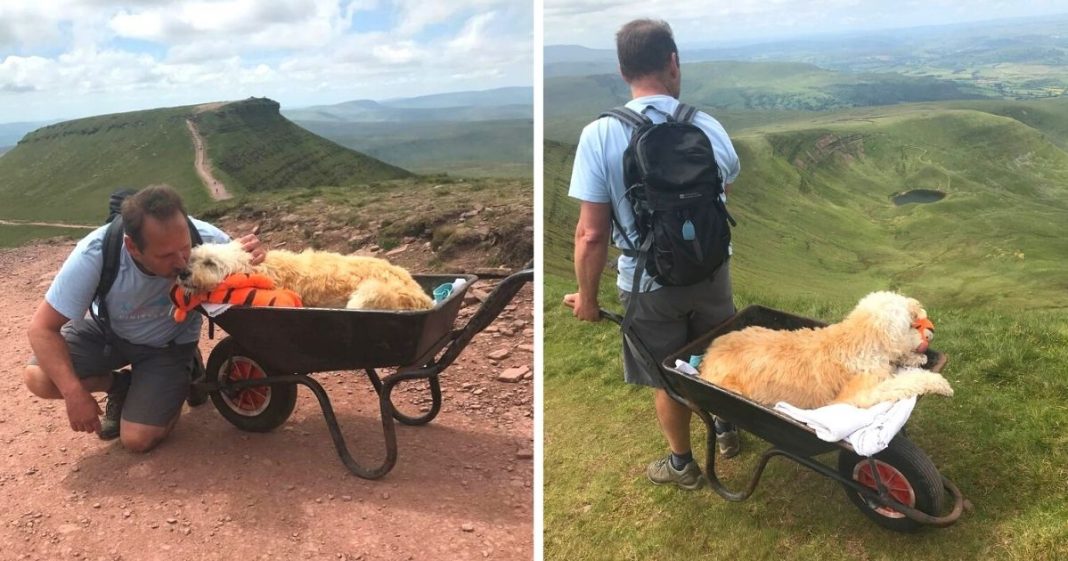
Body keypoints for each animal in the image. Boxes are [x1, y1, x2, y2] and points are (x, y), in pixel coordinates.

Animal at [696, 292, 956, 406]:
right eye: (913, 322)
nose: (931, 328)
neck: (860, 340)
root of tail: (707, 355)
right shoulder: (861, 394)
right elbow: (905, 382)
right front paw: (939, 383)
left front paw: (917, 360)